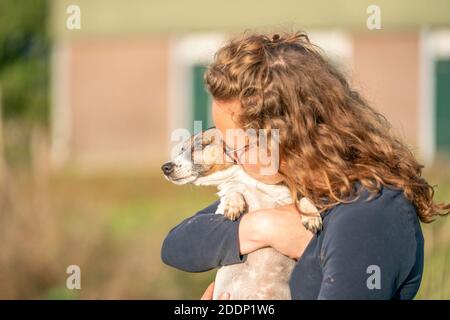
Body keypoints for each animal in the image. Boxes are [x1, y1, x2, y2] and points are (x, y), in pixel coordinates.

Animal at [162, 127, 320, 300]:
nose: (165, 167)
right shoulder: (222, 205)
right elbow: (232, 190)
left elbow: (303, 197)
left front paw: (311, 216)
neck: (248, 180)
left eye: (202, 145)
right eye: (181, 149)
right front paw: (234, 205)